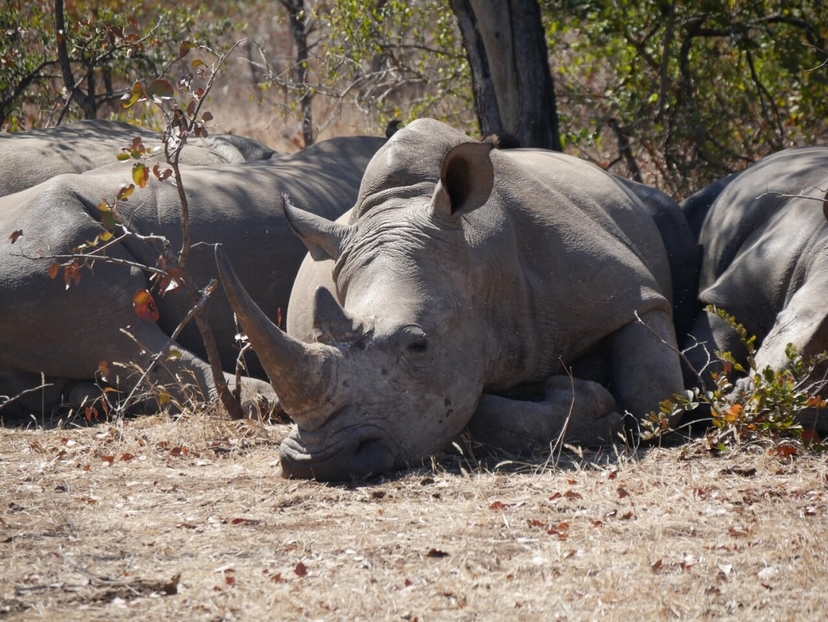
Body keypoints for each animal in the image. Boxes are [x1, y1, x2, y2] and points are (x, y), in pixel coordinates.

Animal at [216, 118, 687, 480]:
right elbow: (473, 412)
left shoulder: (629, 292)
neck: (481, 257)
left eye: (419, 344)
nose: (315, 460)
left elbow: (654, 398)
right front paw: (585, 402)